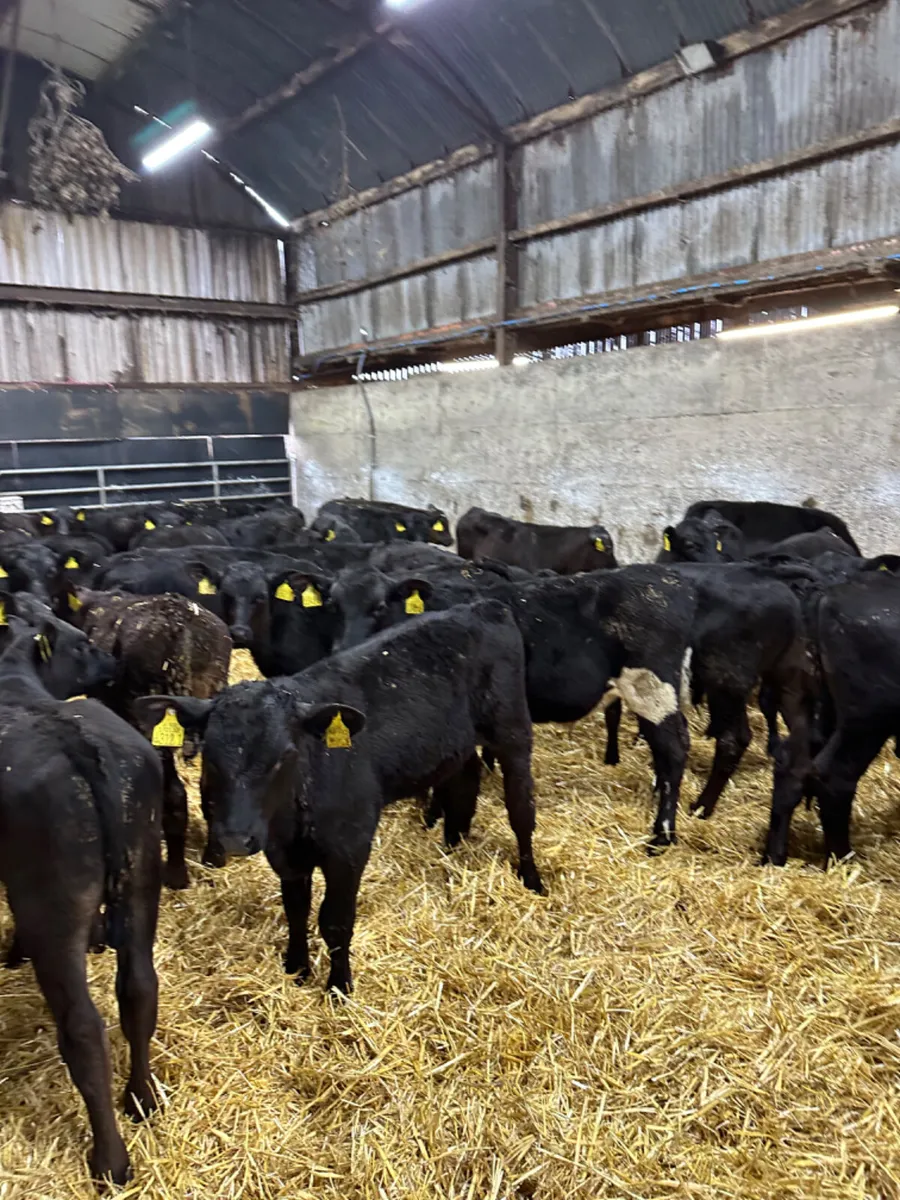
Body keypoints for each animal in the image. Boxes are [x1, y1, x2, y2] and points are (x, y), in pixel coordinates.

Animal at [0, 627, 163, 1185]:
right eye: (83, 643)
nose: (111, 665)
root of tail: (78, 744)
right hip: (141, 884)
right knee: (139, 990)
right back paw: (142, 1098)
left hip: (51, 910)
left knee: (83, 1029)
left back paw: (110, 1161)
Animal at [68, 589, 232, 886]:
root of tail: (179, 622)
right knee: (213, 790)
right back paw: (214, 859)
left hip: (152, 722)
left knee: (174, 794)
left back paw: (176, 874)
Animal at [135, 601, 541, 994]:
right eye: (211, 754)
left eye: (284, 755)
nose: (235, 839)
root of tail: (484, 605)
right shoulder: (284, 852)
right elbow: (296, 909)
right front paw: (297, 968)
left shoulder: (350, 846)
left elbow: (335, 919)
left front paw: (339, 986)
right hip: (459, 744)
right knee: (465, 783)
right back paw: (453, 847)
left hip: (512, 731)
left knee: (521, 807)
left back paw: (531, 877)